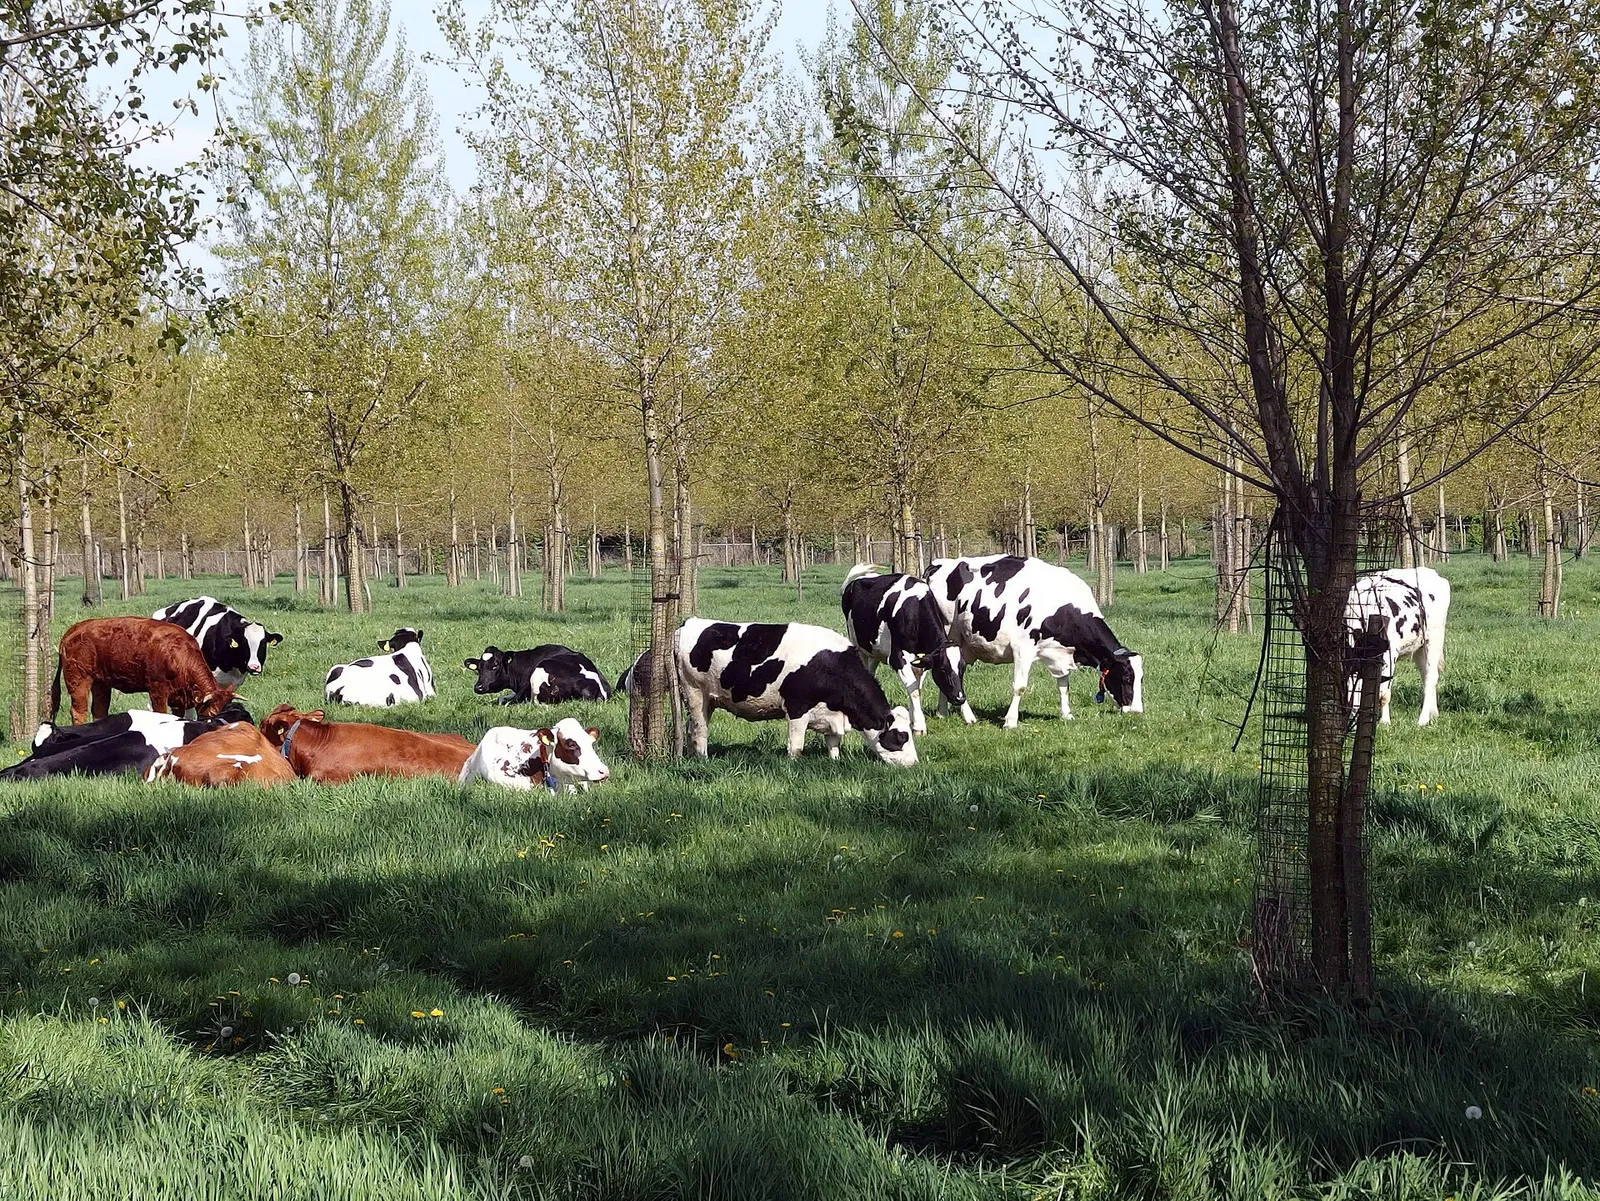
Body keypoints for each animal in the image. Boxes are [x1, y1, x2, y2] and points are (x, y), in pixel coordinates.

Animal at [51, 617, 236, 725]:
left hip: (101, 682)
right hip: (78, 679)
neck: (177, 654)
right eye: (209, 712)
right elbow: (161, 713)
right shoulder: (157, 690)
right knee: (78, 711)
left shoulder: (178, 698)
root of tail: (74, 629)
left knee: (99, 710)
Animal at [674, 618, 918, 765]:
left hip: (707, 701)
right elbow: (796, 747)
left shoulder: (832, 716)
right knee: (700, 730)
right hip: (696, 694)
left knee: (691, 729)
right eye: (900, 736)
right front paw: (793, 767)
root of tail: (689, 623)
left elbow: (833, 744)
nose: (914, 763)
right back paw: (703, 759)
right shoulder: (797, 708)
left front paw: (835, 762)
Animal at [841, 563, 968, 734]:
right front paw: (919, 727)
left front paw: (914, 721)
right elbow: (913, 691)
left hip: (873, 651)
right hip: (857, 645)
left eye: (963, 668)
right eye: (942, 668)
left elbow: (916, 688)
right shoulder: (898, 657)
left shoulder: (922, 661)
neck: (914, 610)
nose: (960, 698)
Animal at [925, 554, 1143, 729]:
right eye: (1126, 677)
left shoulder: (1059, 654)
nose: (1137, 712)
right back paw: (965, 716)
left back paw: (942, 713)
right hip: (950, 635)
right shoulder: (1023, 648)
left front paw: (1067, 714)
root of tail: (938, 563)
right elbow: (1019, 686)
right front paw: (1010, 722)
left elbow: (1064, 685)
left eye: (1141, 679)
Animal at [1346, 565, 1451, 726]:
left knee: (1431, 677)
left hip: (1434, 638)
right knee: (1425, 674)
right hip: (1419, 647)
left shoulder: (1390, 654)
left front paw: (1385, 721)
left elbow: (1384, 693)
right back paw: (1433, 713)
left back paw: (1423, 719)